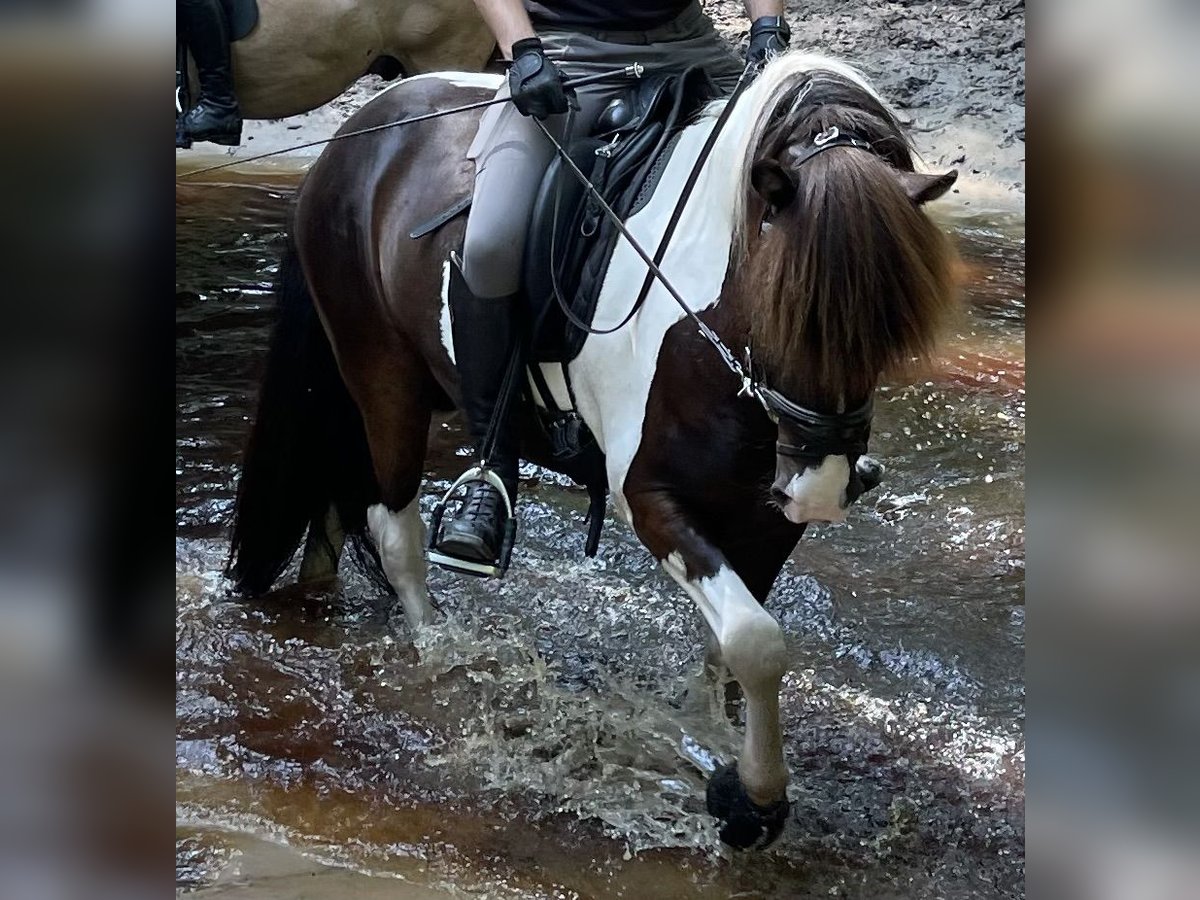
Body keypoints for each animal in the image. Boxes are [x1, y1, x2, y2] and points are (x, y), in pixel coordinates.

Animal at [223, 58, 955, 854]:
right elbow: (757, 641)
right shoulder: (652, 499)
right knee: (394, 529)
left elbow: (731, 651)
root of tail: (360, 130)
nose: (822, 488)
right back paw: (444, 649)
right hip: (381, 374)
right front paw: (752, 803)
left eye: (889, 329)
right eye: (789, 306)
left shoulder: (765, 516)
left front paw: (715, 745)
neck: (708, 328)